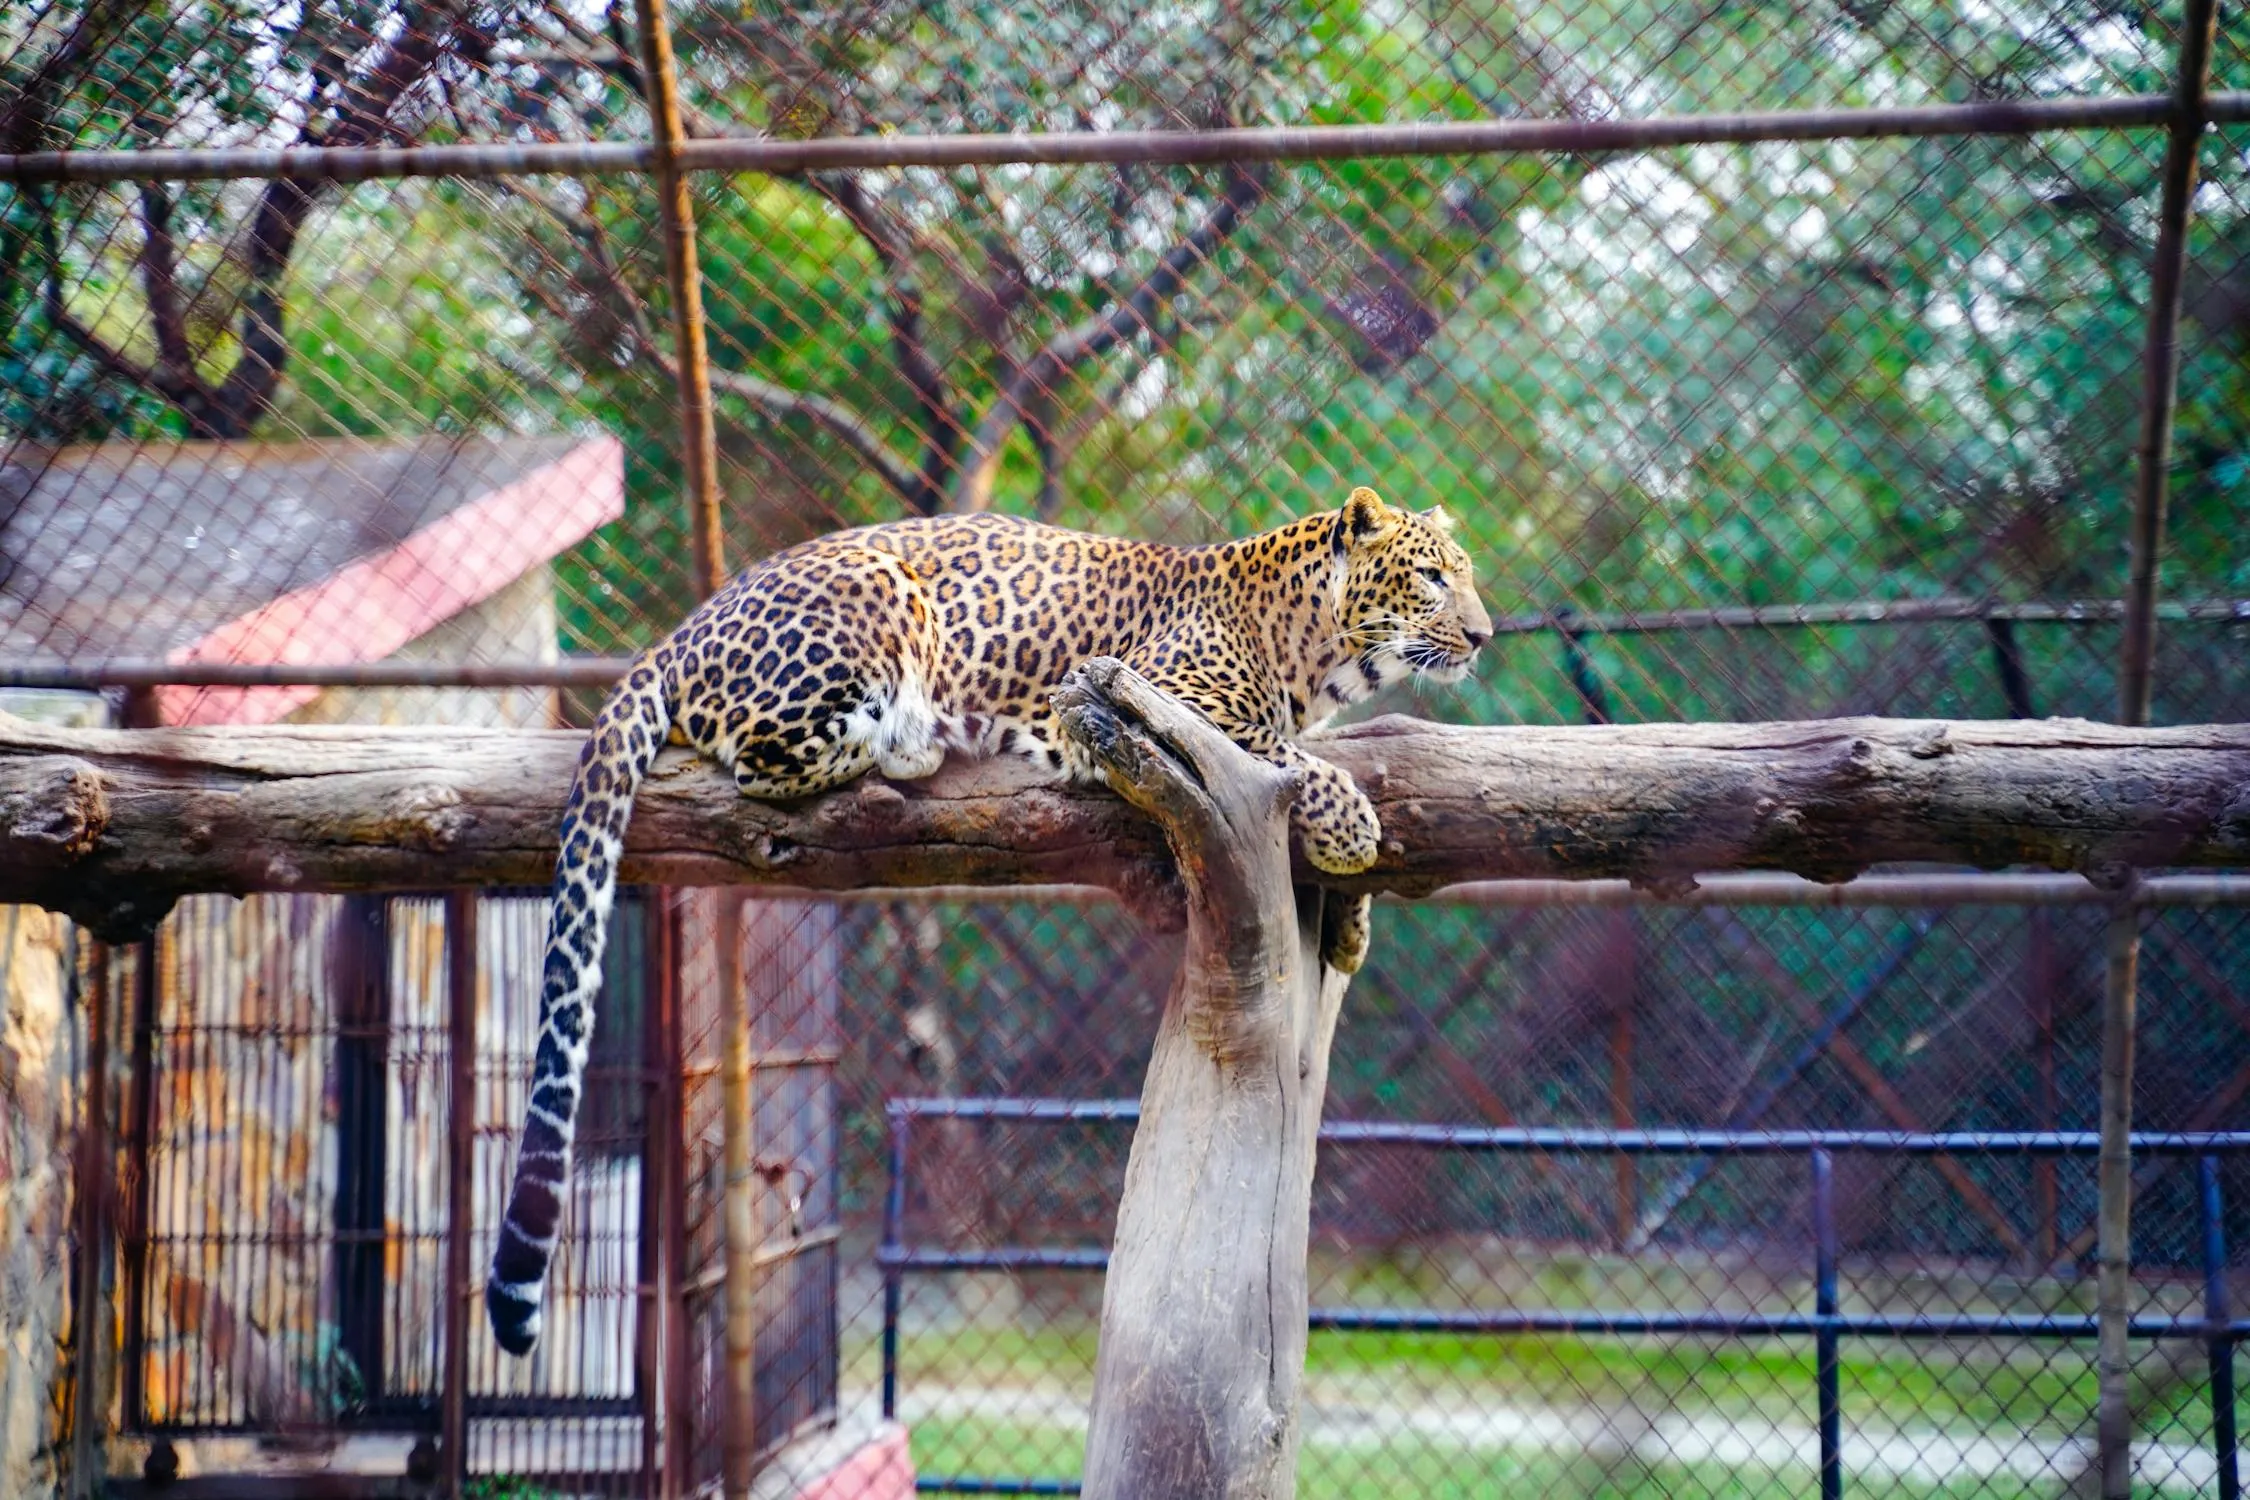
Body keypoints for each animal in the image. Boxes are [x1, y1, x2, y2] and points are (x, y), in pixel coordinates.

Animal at [486, 485, 1491, 1355]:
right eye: (1432, 575)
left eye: (1467, 573)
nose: (1484, 633)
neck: (1314, 650)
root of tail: (681, 627)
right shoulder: (1142, 697)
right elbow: (1294, 758)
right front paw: (1352, 826)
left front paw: (1352, 922)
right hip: (877, 598)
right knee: (759, 757)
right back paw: (912, 737)